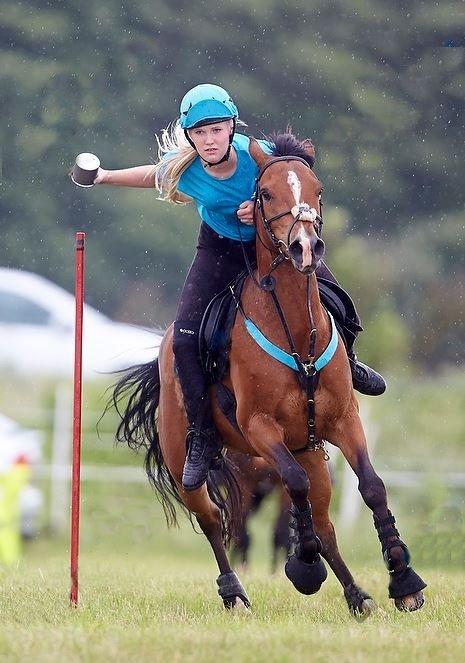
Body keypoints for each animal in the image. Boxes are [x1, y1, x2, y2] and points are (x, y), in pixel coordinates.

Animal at [114, 132, 426, 620]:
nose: (305, 247)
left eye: (318, 190)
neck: (296, 333)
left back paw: (357, 595)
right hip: (187, 461)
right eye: (264, 194)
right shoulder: (260, 428)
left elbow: (373, 487)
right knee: (211, 518)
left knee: (325, 524)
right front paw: (303, 569)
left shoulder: (344, 421)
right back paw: (235, 593)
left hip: (310, 449)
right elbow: (291, 488)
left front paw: (404, 580)